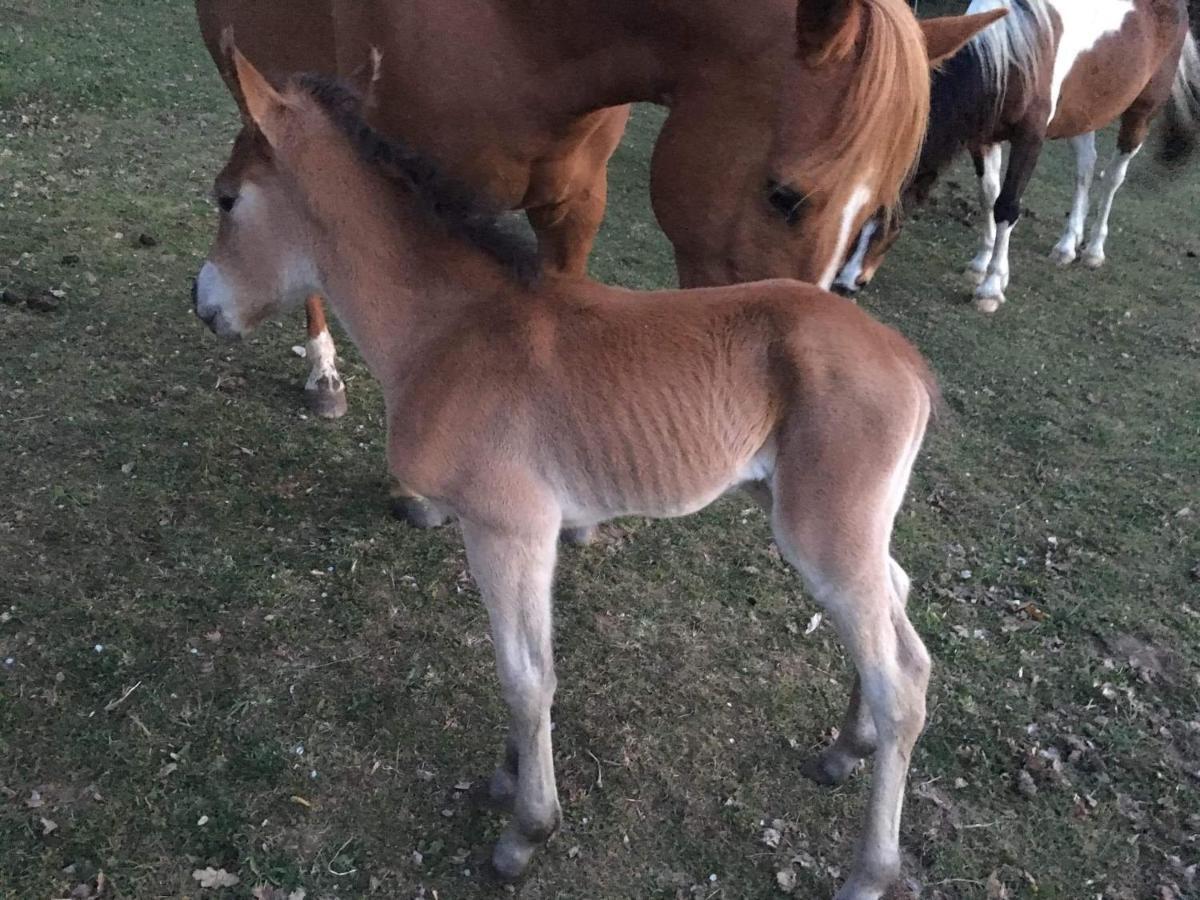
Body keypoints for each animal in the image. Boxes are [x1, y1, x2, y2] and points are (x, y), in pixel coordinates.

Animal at [196, 49, 945, 900]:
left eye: (227, 198)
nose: (203, 302)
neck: (452, 330)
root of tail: (907, 363)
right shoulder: (530, 534)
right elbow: (529, 666)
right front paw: (506, 775)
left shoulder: (508, 528)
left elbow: (526, 678)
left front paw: (526, 830)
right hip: (835, 521)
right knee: (896, 606)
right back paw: (845, 747)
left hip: (824, 533)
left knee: (901, 682)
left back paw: (869, 868)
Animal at [835, 0, 1200, 314]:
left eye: (894, 214)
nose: (845, 282)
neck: (1011, 58)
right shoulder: (983, 138)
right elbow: (988, 196)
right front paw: (981, 264)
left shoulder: (1030, 139)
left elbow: (1007, 206)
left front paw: (991, 288)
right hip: (1084, 113)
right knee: (1085, 167)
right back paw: (1067, 245)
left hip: (1141, 112)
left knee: (1113, 177)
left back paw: (1094, 250)